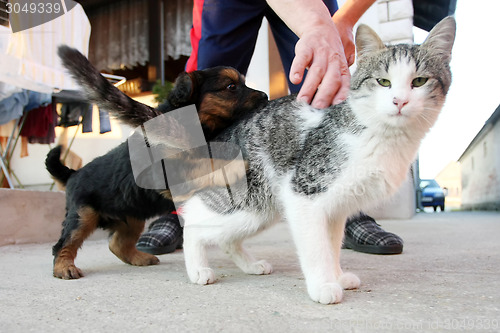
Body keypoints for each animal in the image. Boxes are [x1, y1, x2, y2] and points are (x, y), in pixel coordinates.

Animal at [47, 46, 268, 278]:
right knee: (64, 242)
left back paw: (140, 258)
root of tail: (73, 174)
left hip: (132, 215)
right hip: (83, 214)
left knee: (117, 243)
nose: (266, 96)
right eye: (231, 87)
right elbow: (200, 163)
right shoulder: (167, 171)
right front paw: (234, 166)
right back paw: (64, 267)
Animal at [177, 17, 458, 304]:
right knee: (193, 223)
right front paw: (323, 284)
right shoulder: (304, 195)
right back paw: (198, 268)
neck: (379, 132)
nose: (399, 101)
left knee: (225, 237)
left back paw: (250, 265)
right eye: (383, 81)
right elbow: (316, 247)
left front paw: (337, 276)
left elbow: (332, 244)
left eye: (419, 81)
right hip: (242, 203)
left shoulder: (336, 208)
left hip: (259, 212)